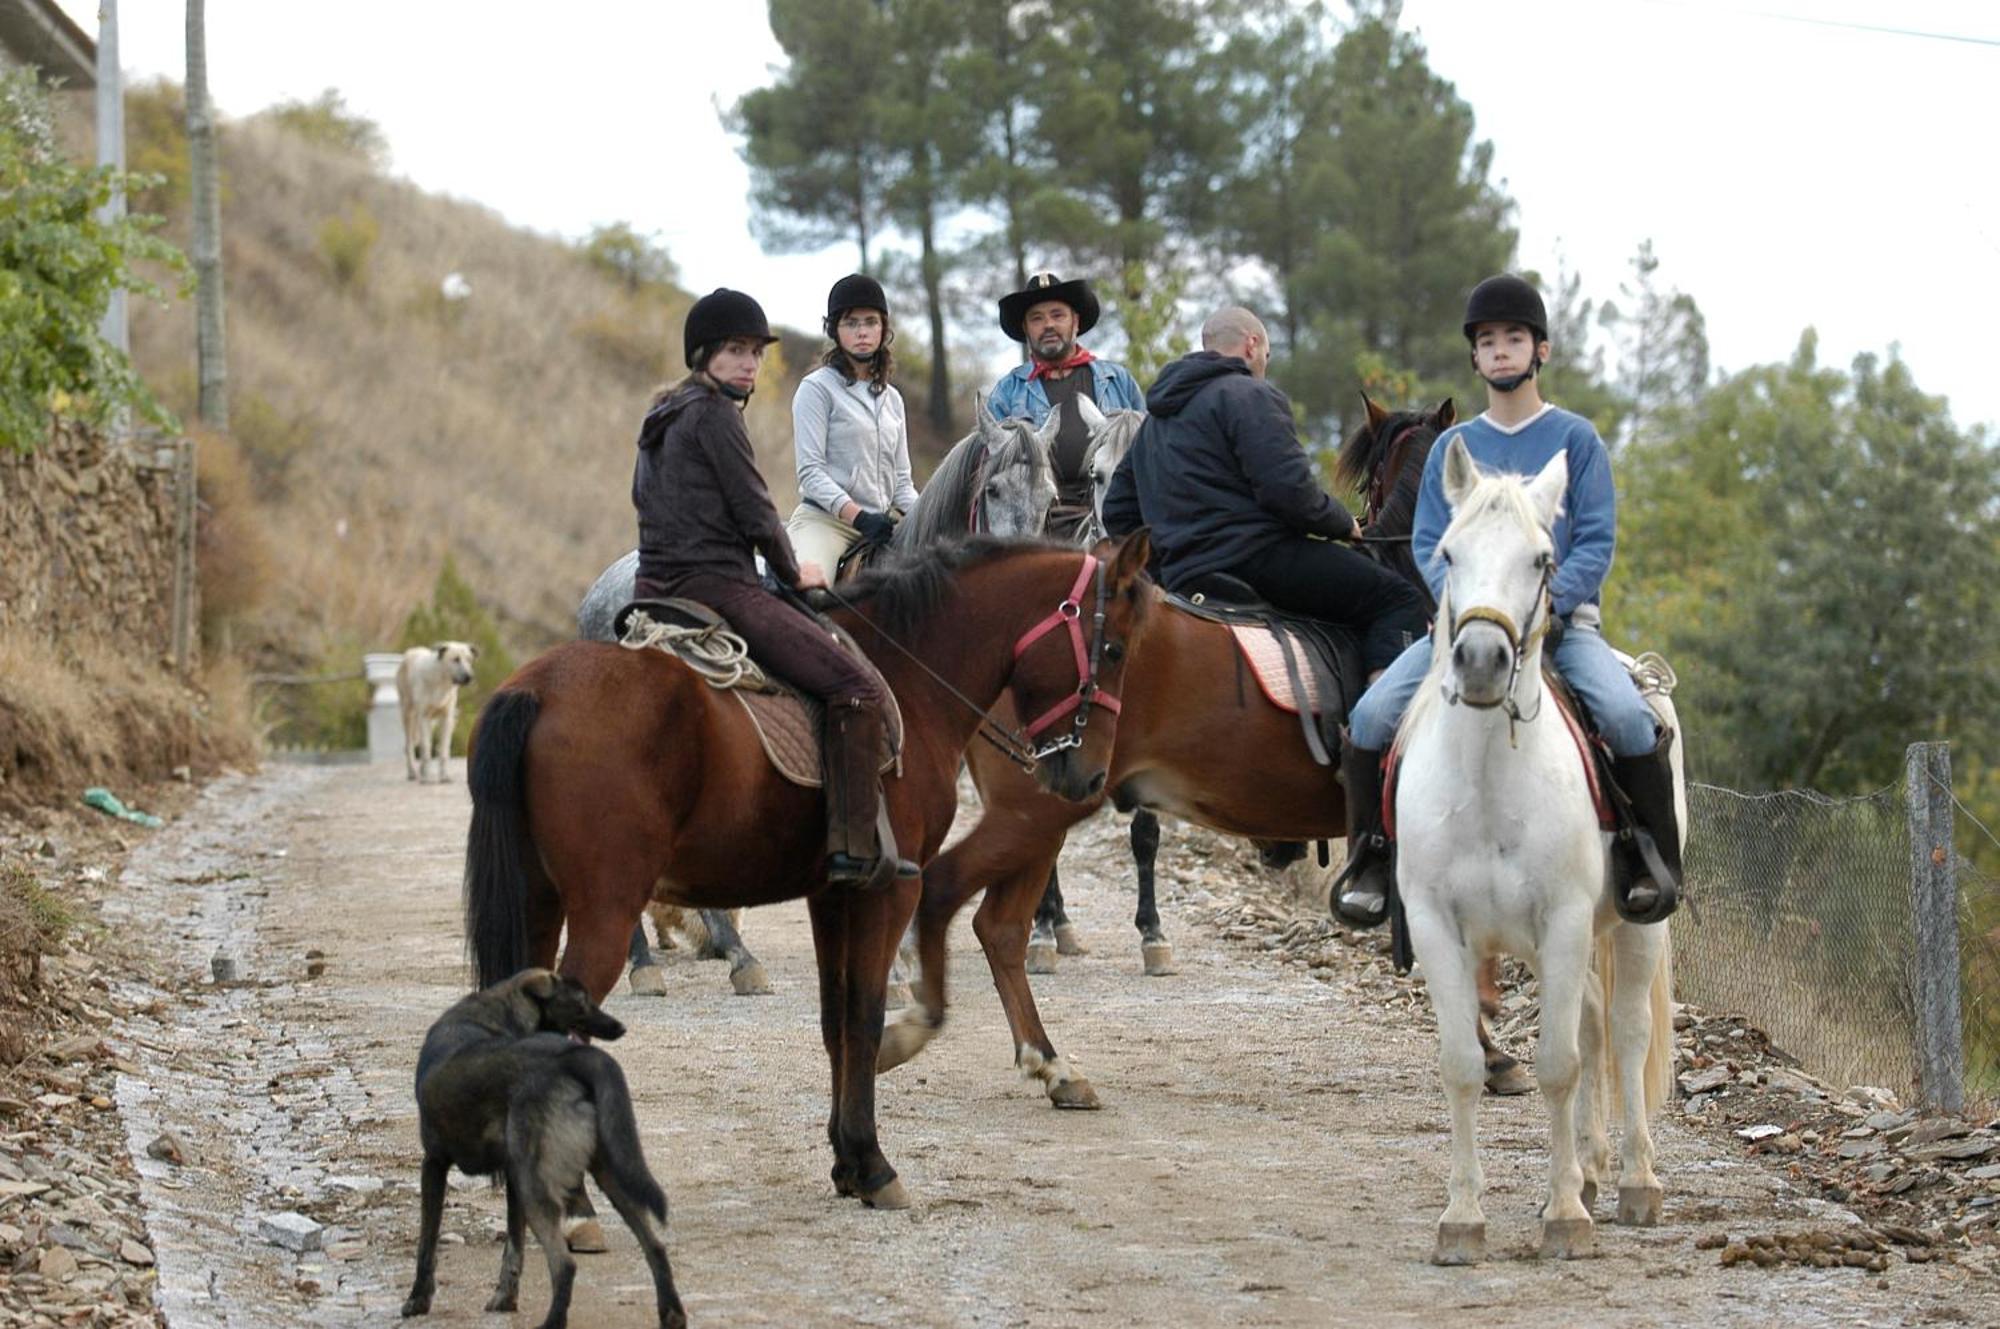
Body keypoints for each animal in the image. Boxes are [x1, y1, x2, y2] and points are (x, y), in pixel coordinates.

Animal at [396, 640, 478, 780]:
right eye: (456, 659)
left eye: (469, 660)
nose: (469, 677)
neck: (441, 682)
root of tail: (410, 652)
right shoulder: (423, 717)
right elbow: (426, 748)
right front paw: (428, 778)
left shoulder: (447, 718)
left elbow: (443, 749)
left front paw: (444, 776)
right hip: (408, 715)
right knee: (409, 746)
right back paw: (413, 772)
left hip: (431, 721)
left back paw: (422, 770)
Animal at [402, 964, 692, 1329]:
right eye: (582, 1003)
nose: (620, 1027)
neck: (493, 1011)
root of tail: (572, 1058)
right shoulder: (511, 1177)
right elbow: (514, 1247)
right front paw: (505, 1298)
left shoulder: (434, 1163)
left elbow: (426, 1243)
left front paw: (417, 1300)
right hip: (613, 1172)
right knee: (655, 1246)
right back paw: (672, 1314)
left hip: (535, 1184)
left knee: (564, 1264)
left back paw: (553, 1321)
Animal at [470, 532, 1160, 1200]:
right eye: (1115, 649)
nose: (1088, 776)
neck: (910, 674)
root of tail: (537, 688)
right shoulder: (889, 894)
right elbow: (867, 1017)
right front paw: (874, 1164)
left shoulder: (833, 896)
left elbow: (836, 1019)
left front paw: (847, 1162)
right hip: (605, 911)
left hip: (540, 903)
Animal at [1400, 438, 1680, 1264]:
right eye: (1448, 552)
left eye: (1542, 559)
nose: (1481, 659)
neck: (1490, 778)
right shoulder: (1438, 927)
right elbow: (1462, 1066)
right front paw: (1462, 1218)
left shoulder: (1561, 920)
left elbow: (1560, 1064)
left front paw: (1564, 1216)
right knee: (1588, 1019)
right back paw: (1589, 1166)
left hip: (1637, 927)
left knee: (1624, 1032)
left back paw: (1634, 1181)